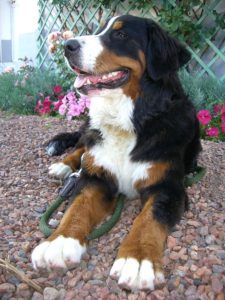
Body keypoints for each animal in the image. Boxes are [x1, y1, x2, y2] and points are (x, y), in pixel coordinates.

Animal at [30, 14, 201, 290]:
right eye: (99, 30)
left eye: (121, 35)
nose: (68, 46)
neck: (128, 122)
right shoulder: (97, 178)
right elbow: (77, 207)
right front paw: (60, 242)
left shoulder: (167, 188)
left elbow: (148, 219)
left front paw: (138, 259)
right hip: (90, 131)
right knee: (81, 146)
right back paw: (64, 165)